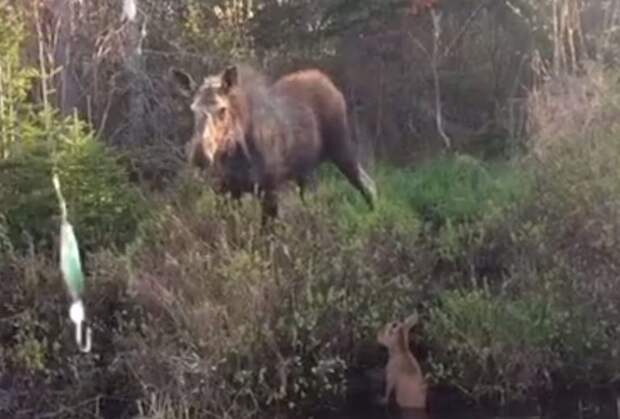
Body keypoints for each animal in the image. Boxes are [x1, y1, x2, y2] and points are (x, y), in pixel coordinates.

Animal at [171, 63, 378, 225]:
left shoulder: (269, 190)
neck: (236, 155)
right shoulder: (226, 191)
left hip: (342, 148)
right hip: (305, 171)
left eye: (222, 109)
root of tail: (330, 83)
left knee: (368, 185)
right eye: (193, 109)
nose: (199, 155)